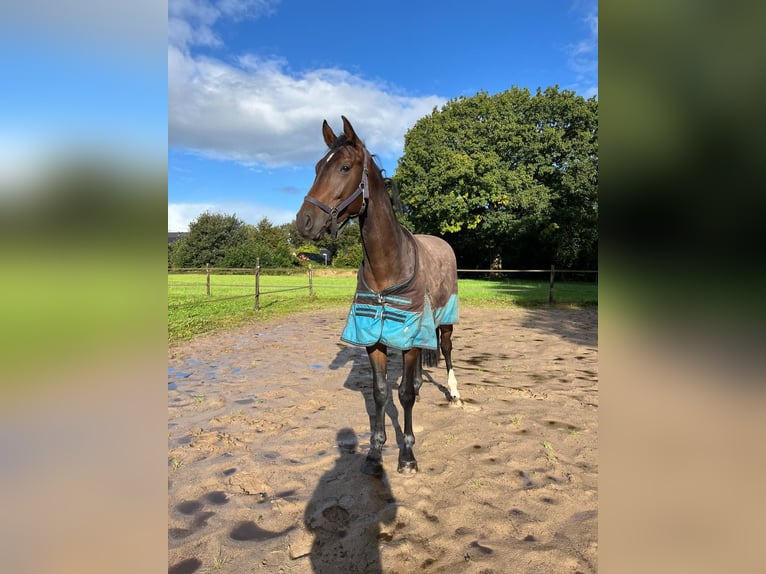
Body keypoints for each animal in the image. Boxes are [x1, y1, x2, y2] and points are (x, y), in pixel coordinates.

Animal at [294, 117, 462, 476]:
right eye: (316, 167)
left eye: (344, 167)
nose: (305, 221)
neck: (389, 266)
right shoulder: (374, 337)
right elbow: (382, 392)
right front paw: (375, 450)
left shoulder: (411, 336)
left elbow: (405, 396)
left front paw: (407, 456)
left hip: (446, 320)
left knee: (446, 350)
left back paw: (455, 393)